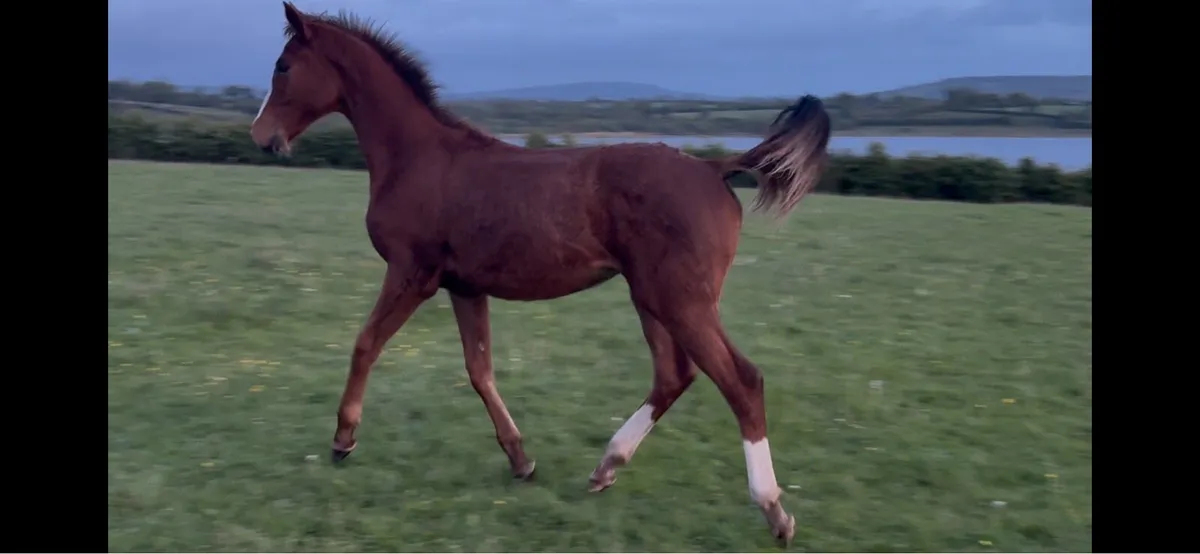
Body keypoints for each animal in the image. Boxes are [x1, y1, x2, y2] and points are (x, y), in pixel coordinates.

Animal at [250, 3, 831, 544]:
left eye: (283, 66)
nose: (261, 136)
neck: (418, 158)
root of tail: (714, 167)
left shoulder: (412, 273)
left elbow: (366, 343)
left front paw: (343, 440)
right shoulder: (465, 287)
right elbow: (479, 370)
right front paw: (521, 460)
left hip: (679, 298)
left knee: (741, 380)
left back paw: (774, 511)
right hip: (652, 297)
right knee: (674, 375)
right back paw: (605, 468)